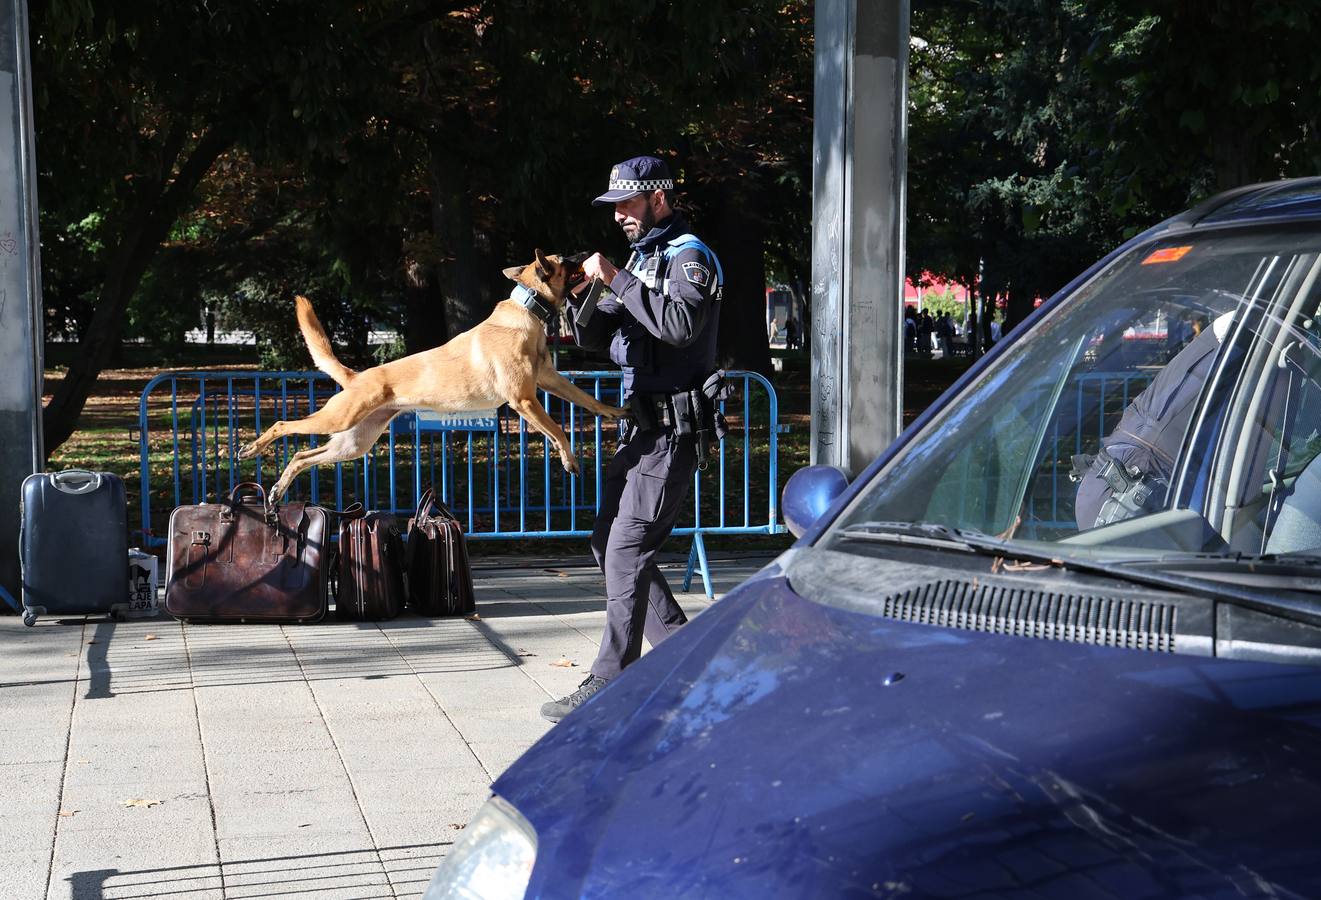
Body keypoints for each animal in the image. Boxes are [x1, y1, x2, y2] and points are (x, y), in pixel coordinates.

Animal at [243, 249, 628, 499]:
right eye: (565, 259)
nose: (589, 251)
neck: (527, 311)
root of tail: (356, 376)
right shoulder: (525, 400)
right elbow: (559, 431)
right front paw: (569, 460)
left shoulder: (550, 381)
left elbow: (587, 399)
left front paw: (615, 411)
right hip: (339, 418)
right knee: (283, 426)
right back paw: (252, 448)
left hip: (353, 443)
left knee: (301, 456)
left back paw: (278, 489)